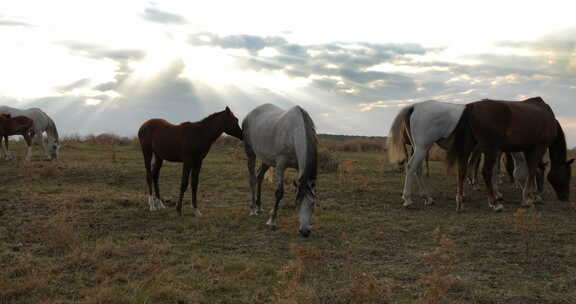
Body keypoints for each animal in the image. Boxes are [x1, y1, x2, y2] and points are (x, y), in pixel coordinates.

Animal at [241, 103, 318, 236]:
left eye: (312, 204)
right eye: (297, 203)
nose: (305, 232)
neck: (294, 132)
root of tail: (249, 115)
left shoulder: (298, 168)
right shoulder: (281, 165)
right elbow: (279, 192)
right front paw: (272, 221)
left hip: (267, 159)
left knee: (259, 177)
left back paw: (259, 206)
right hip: (250, 152)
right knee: (252, 179)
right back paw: (253, 209)